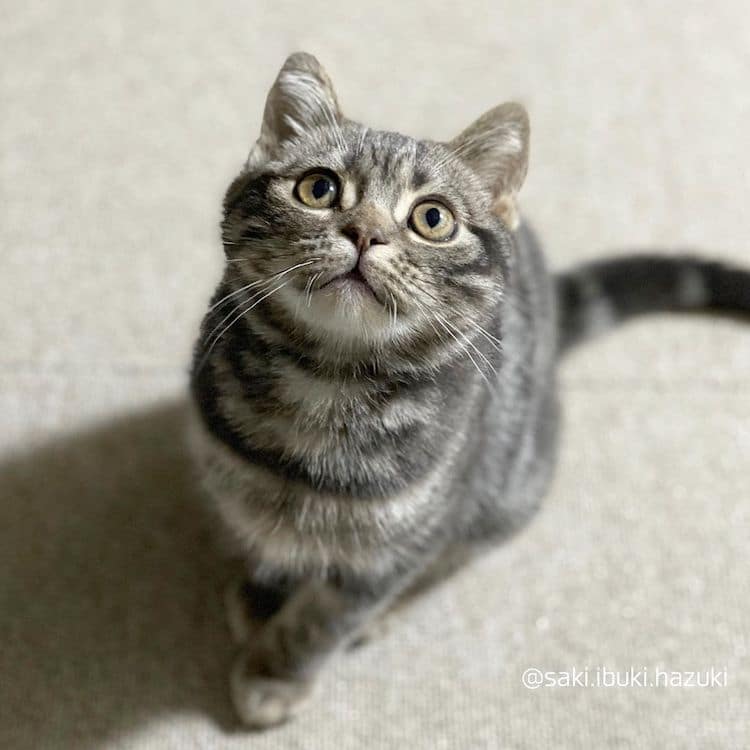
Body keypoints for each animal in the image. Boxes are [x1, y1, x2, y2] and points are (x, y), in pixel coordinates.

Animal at [189, 51, 750, 728]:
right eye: (318, 189)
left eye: (432, 218)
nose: (365, 231)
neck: (327, 381)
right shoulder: (232, 481)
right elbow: (264, 540)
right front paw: (263, 595)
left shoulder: (397, 546)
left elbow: (325, 617)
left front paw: (277, 671)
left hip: (505, 494)